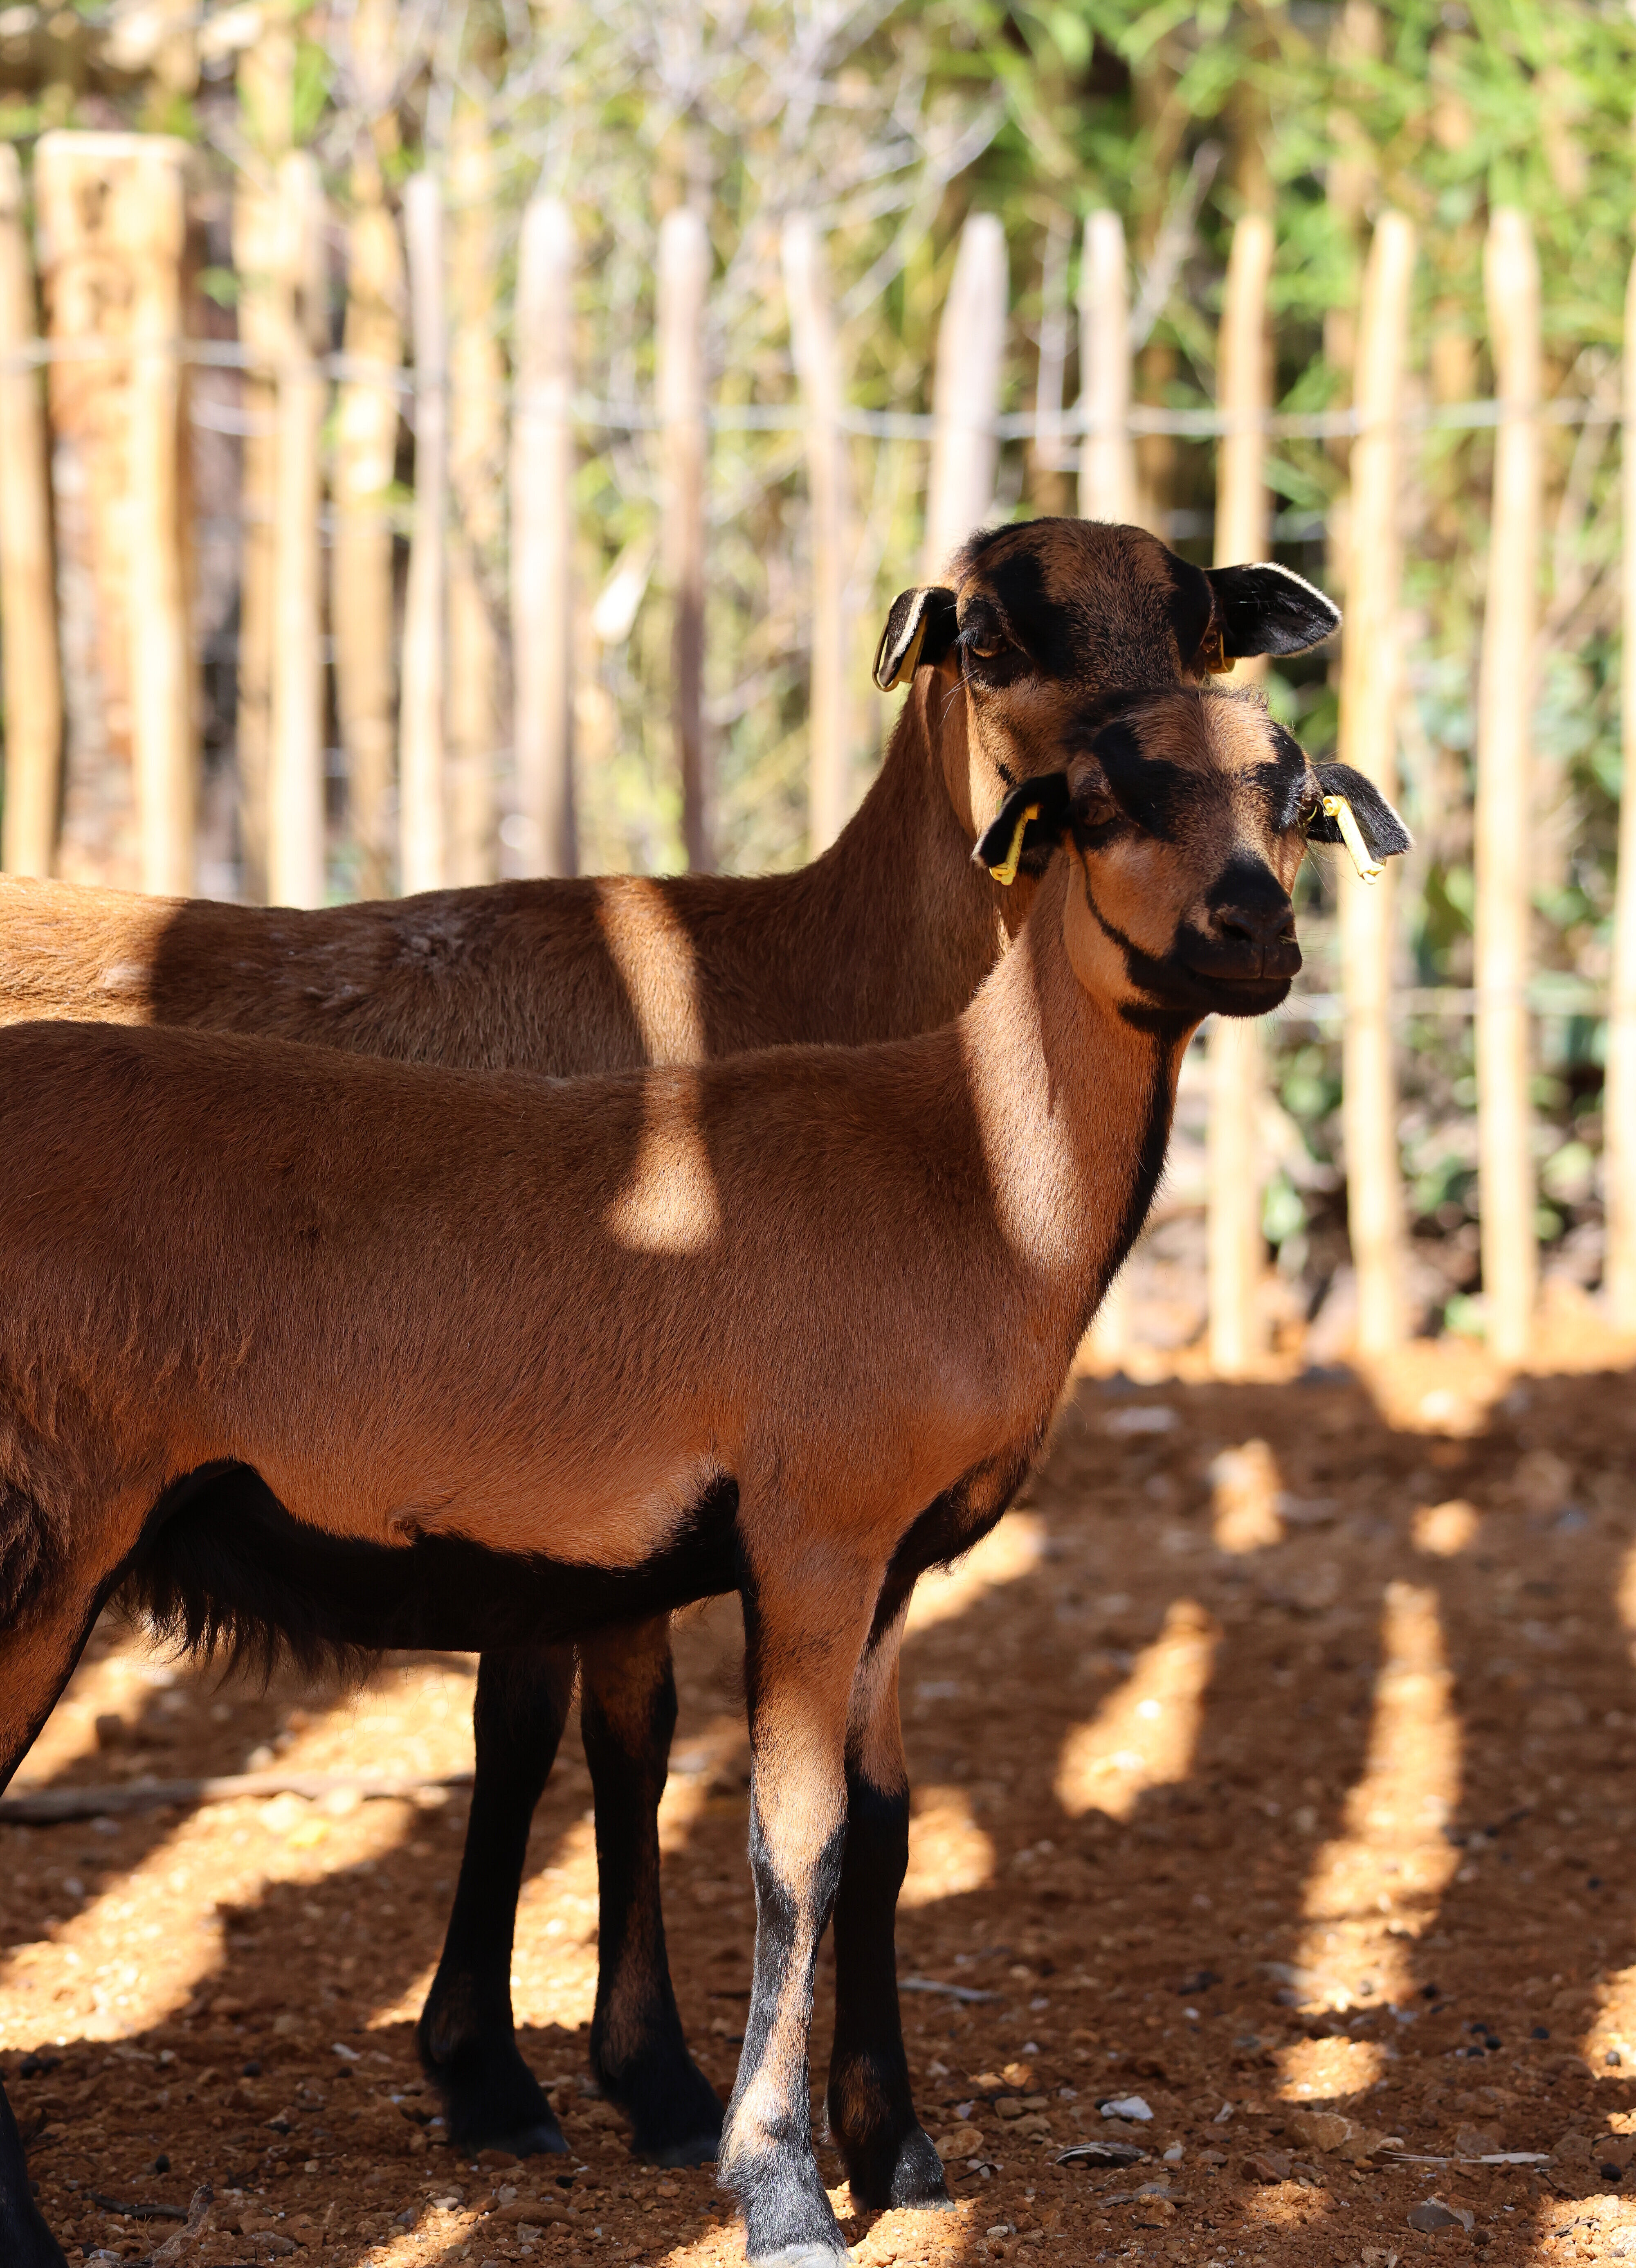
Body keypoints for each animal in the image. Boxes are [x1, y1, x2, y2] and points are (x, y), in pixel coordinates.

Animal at [0, 681, 1408, 2268]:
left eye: (1295, 807)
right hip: (52, 1520)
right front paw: (783, 2189)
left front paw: (901, 2156)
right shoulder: (811, 1534)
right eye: (1100, 801)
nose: (1253, 932)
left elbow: (884, 1832)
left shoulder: (893, 1563)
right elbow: (792, 1843)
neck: (970, 1169)